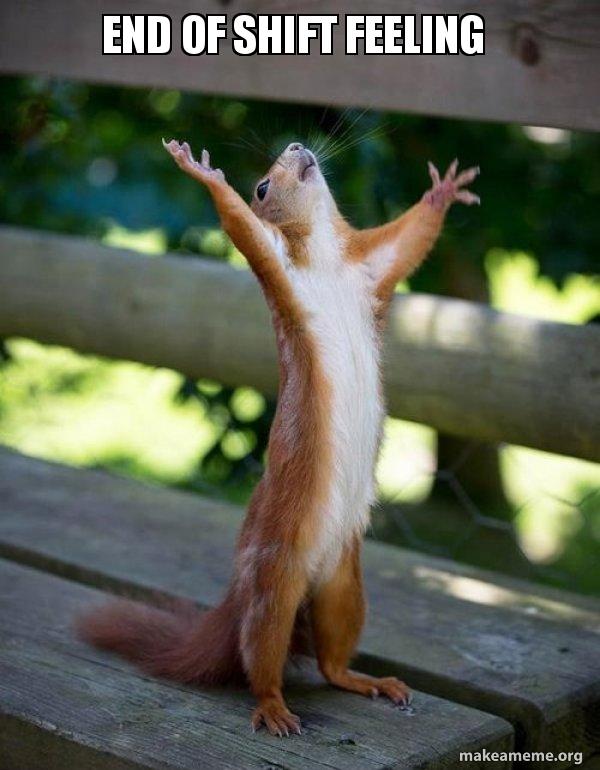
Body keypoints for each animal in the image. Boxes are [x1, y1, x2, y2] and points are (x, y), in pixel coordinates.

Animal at [78, 138, 479, 737]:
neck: (327, 258)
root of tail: (239, 596)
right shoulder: (277, 266)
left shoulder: (371, 267)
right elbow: (241, 227)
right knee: (261, 657)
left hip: (344, 586)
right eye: (262, 186)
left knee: (332, 660)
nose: (296, 146)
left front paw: (443, 191)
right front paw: (204, 174)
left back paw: (367, 681)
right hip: (274, 582)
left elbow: (408, 241)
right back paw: (273, 707)